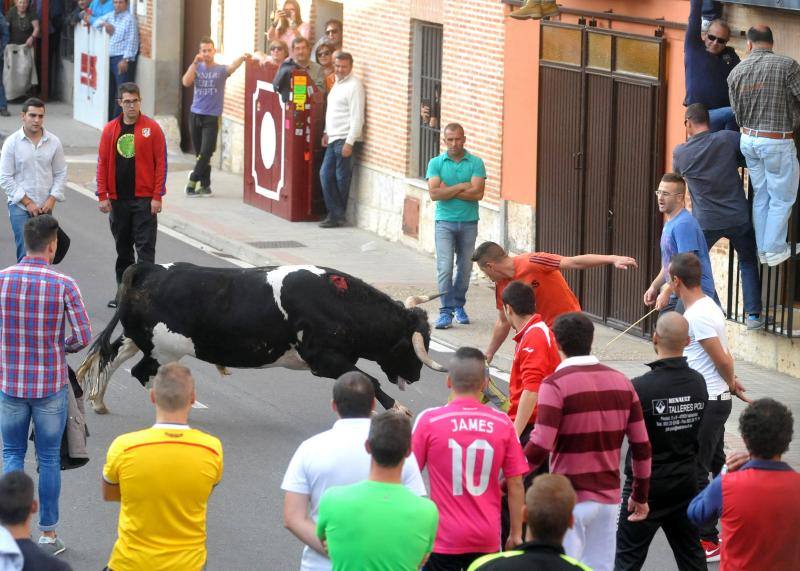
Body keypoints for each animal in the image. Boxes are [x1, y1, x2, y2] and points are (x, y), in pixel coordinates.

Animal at [77, 262, 446, 416]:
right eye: (412, 345)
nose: (416, 376)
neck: (339, 301)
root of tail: (150, 268)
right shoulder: (325, 359)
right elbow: (371, 380)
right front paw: (399, 408)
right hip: (163, 351)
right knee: (141, 373)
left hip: (143, 340)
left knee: (115, 355)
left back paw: (99, 402)